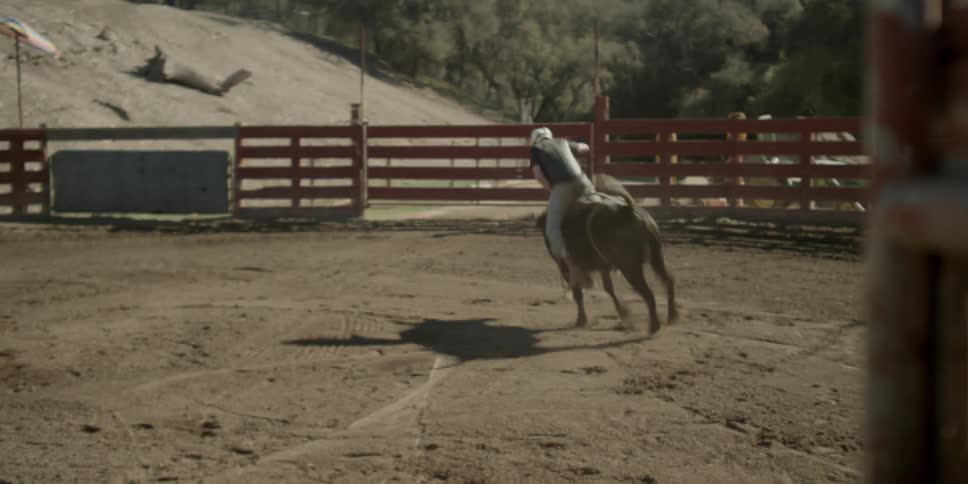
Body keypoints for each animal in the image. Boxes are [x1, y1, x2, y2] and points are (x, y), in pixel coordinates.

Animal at [536, 174, 677, 335]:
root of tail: (627, 210)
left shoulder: (567, 267)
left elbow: (579, 292)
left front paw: (581, 320)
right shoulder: (603, 266)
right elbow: (608, 288)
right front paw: (623, 313)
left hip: (630, 267)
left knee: (648, 293)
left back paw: (654, 326)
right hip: (656, 257)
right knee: (668, 280)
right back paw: (671, 317)